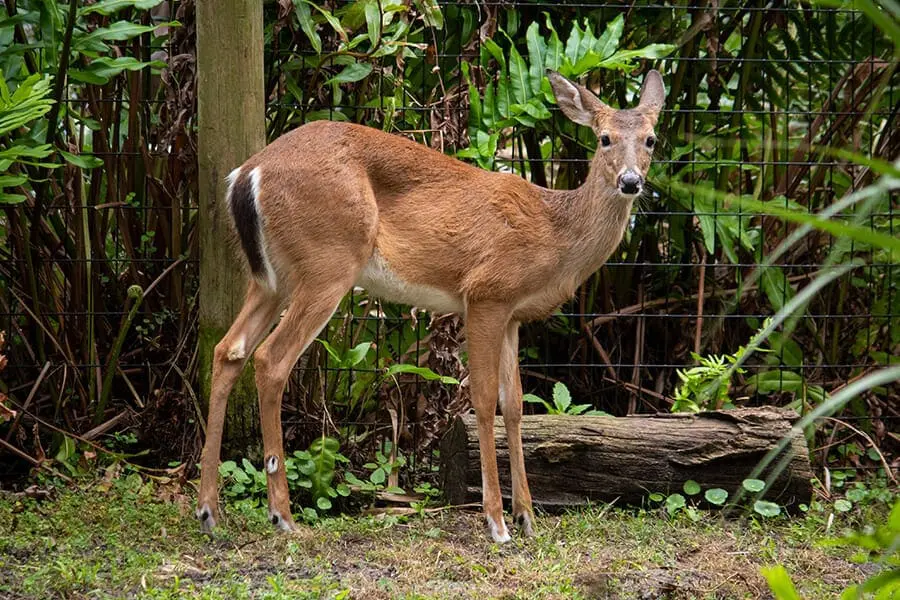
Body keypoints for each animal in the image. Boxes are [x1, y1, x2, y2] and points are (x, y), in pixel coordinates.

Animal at [195, 68, 660, 540]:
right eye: (604, 138)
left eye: (651, 139)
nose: (630, 182)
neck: (555, 233)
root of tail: (248, 173)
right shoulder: (487, 292)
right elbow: (484, 399)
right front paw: (497, 521)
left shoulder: (514, 315)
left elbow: (514, 406)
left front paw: (527, 517)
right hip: (328, 261)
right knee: (271, 359)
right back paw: (283, 516)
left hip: (271, 279)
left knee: (228, 350)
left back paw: (209, 511)